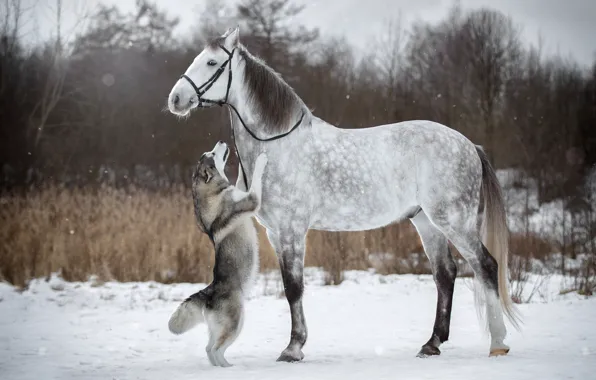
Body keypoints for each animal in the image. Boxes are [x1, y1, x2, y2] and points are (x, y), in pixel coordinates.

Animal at [169, 141, 268, 366]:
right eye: (212, 154)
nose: (222, 142)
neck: (214, 193)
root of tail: (209, 292)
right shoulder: (251, 200)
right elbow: (255, 181)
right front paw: (261, 159)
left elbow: (241, 181)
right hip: (236, 322)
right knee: (215, 349)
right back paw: (227, 368)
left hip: (221, 327)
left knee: (209, 349)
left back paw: (221, 367)